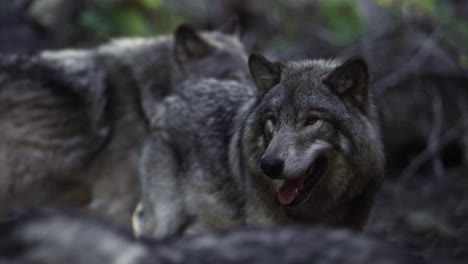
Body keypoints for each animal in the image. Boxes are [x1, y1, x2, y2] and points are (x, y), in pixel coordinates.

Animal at [135, 52, 384, 236]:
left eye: (312, 120)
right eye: (272, 120)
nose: (269, 165)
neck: (317, 212)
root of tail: (172, 97)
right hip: (166, 222)